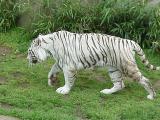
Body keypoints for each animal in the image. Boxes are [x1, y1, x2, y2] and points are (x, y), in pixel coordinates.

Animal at [27, 30, 159, 100]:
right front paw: (51, 80)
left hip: (127, 67)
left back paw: (152, 96)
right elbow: (51, 70)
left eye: (29, 51)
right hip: (114, 69)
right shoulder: (61, 62)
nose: (26, 59)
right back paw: (106, 92)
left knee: (144, 80)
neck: (49, 47)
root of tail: (130, 41)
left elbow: (68, 80)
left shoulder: (68, 66)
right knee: (119, 84)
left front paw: (64, 90)